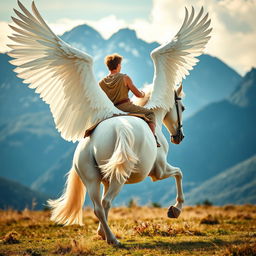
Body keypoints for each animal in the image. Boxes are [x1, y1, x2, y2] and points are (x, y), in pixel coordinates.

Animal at [7, 1, 212, 246]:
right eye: (182, 108)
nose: (178, 137)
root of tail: (116, 131)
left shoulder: (105, 179)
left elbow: (104, 208)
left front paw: (99, 232)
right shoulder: (159, 170)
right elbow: (180, 173)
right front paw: (175, 209)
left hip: (93, 178)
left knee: (98, 206)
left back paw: (106, 235)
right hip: (118, 178)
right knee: (104, 203)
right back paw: (113, 240)